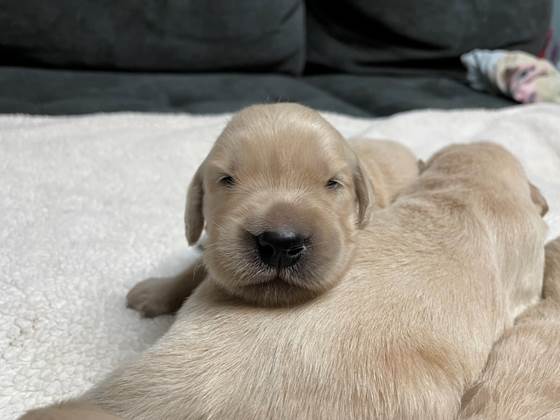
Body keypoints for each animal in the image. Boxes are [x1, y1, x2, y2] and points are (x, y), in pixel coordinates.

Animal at [21, 109, 548, 420]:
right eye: (226, 180)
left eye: (332, 184)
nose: (279, 242)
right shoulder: (215, 243)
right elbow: (200, 262)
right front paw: (154, 291)